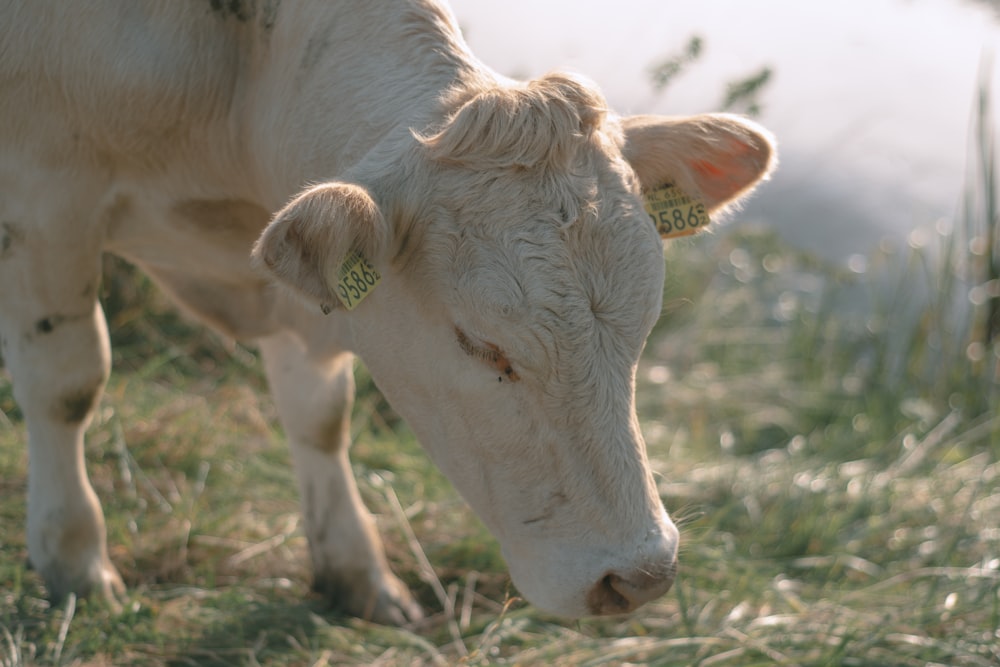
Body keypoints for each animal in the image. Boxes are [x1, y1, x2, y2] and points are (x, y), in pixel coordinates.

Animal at [0, 0, 772, 628]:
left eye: (642, 328)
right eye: (479, 344)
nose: (639, 576)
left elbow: (319, 414)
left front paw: (356, 569)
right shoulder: (44, 203)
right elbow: (68, 384)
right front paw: (75, 561)